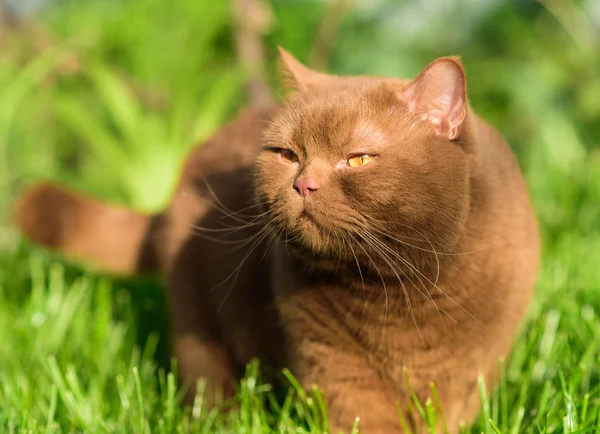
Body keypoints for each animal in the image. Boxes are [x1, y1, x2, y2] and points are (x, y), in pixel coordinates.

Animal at [14, 49, 540, 432]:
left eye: (357, 159)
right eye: (287, 155)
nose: (304, 184)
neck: (399, 290)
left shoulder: (470, 369)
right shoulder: (331, 361)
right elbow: (363, 417)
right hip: (199, 322)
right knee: (209, 384)